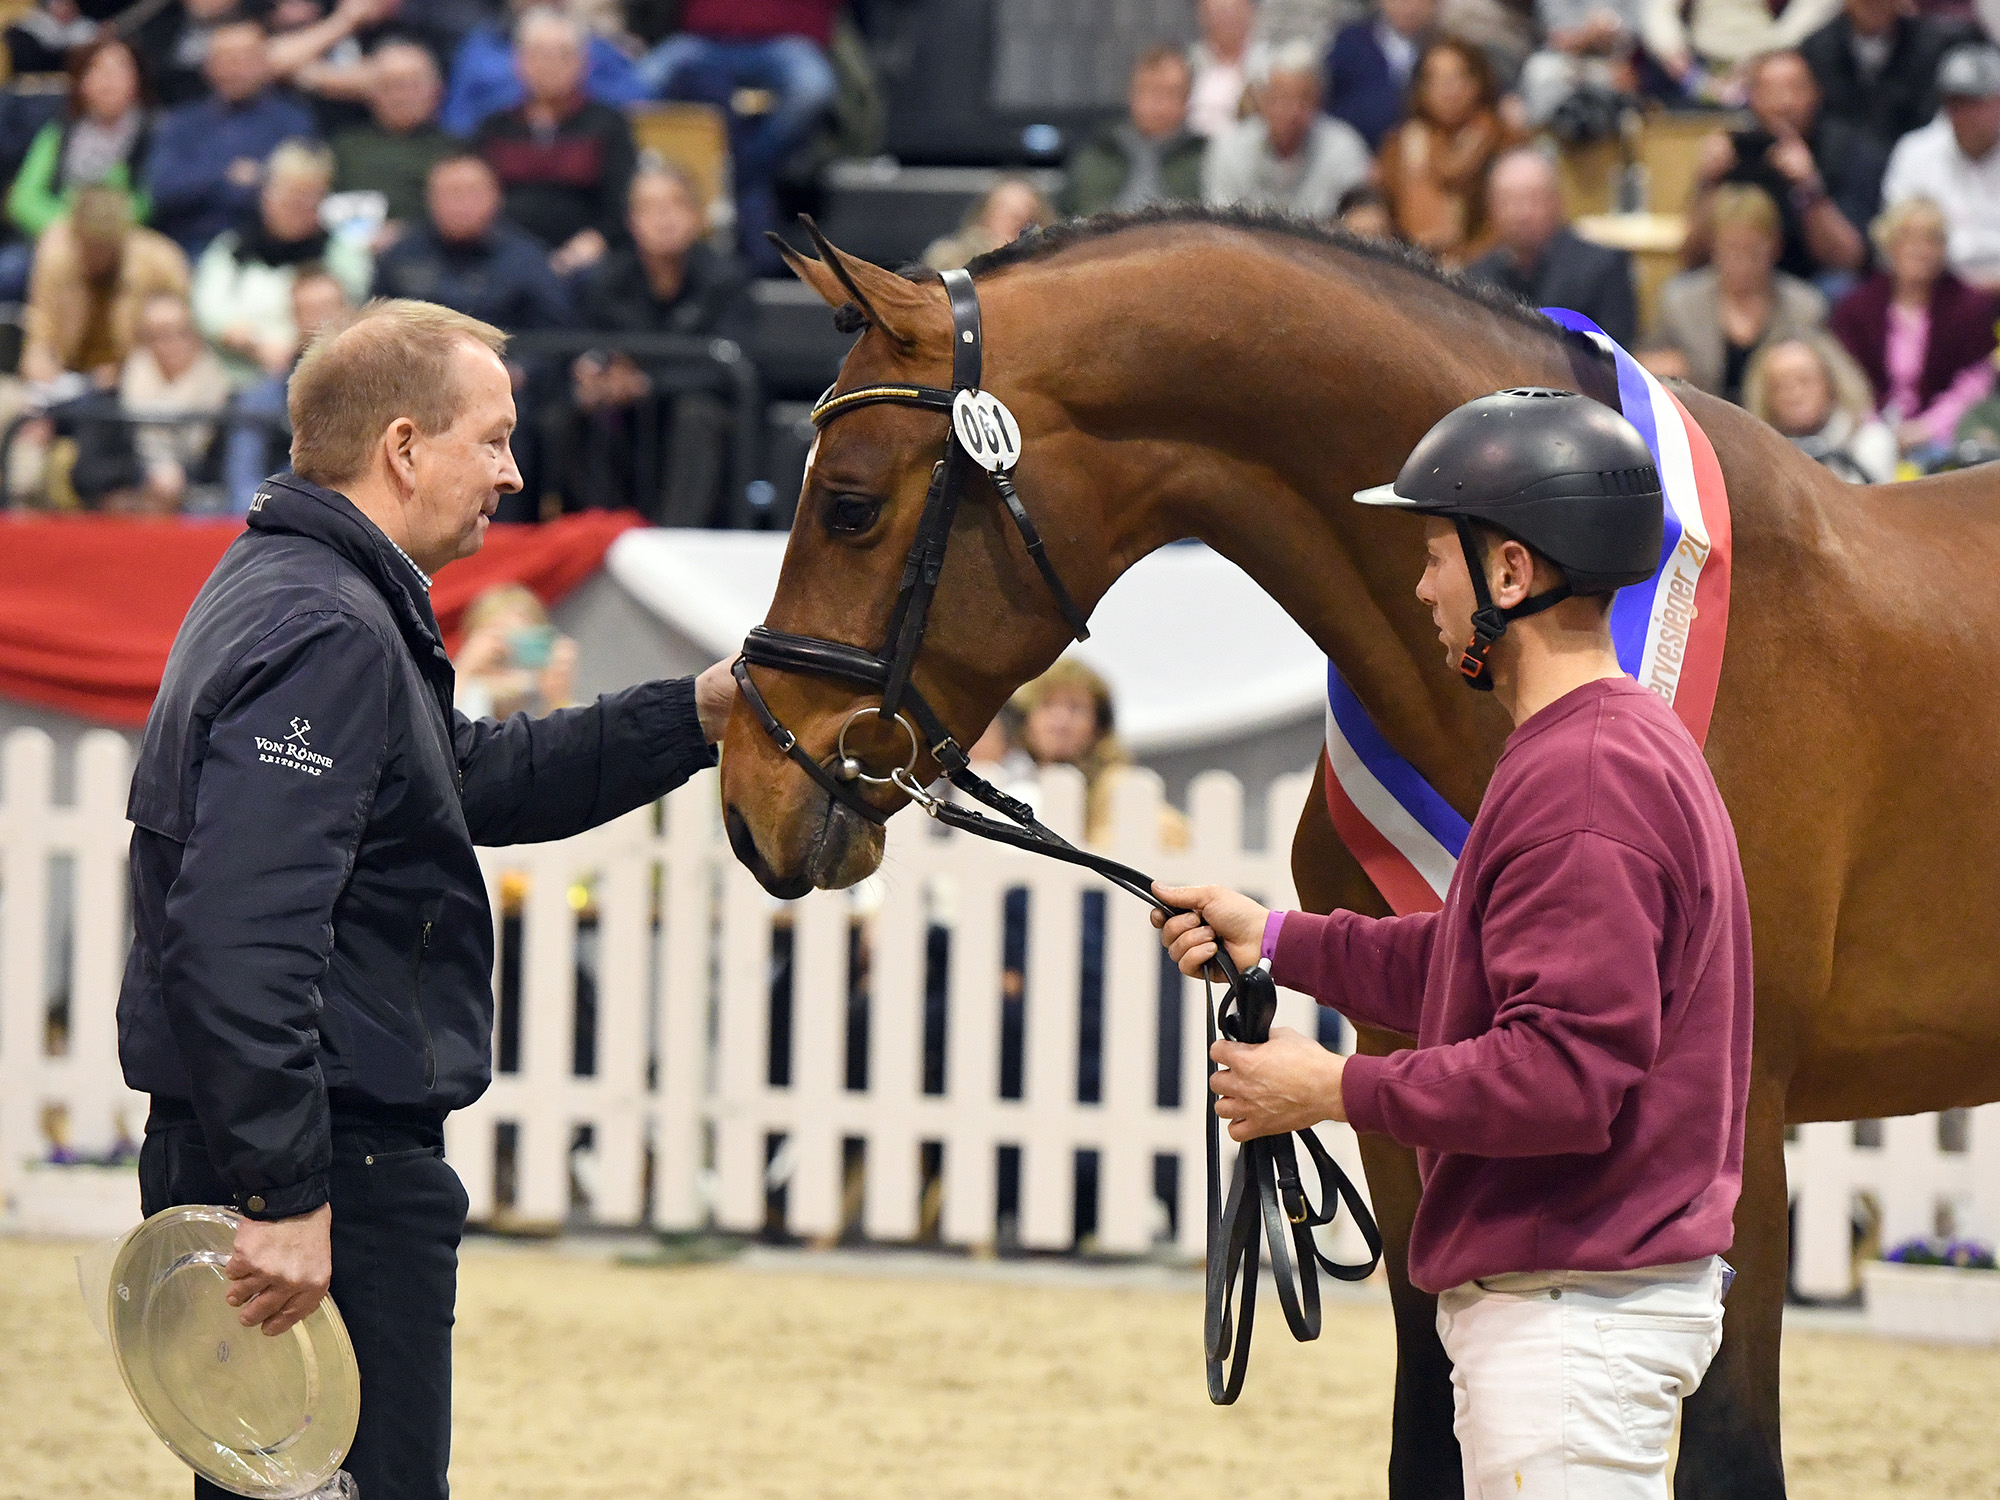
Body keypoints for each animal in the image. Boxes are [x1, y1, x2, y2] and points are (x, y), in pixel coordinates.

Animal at [717, 204, 2000, 1498]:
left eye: (848, 504)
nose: (750, 791)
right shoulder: (1401, 1084)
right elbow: (1427, 1428)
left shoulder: (1732, 1128)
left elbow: (1729, 1454)